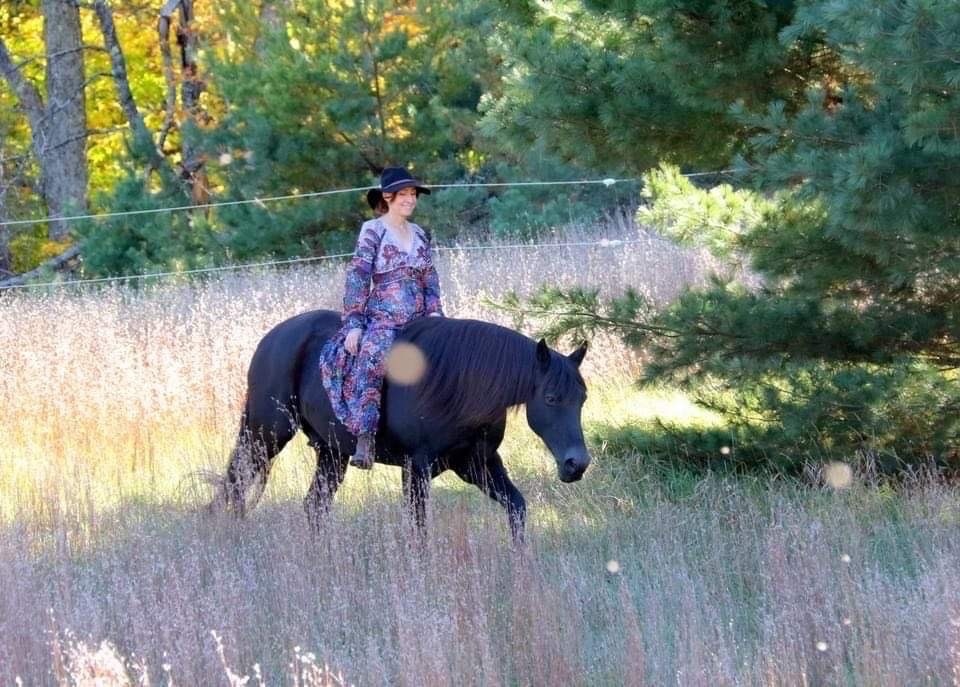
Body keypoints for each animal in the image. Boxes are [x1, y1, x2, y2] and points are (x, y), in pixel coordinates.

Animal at [216, 309, 590, 541]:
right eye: (551, 398)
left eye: (582, 398)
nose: (577, 464)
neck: (458, 387)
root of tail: (272, 338)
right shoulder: (416, 468)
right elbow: (419, 528)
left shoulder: (477, 464)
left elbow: (517, 509)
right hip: (265, 434)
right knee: (237, 485)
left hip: (332, 454)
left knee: (314, 506)